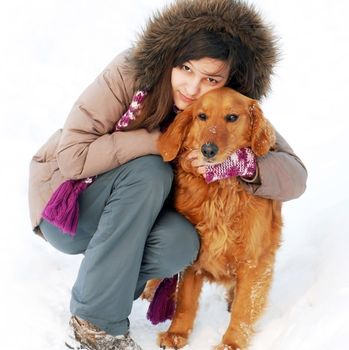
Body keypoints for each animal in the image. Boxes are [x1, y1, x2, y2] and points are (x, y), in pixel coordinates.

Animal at [156, 87, 282, 350]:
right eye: (202, 116)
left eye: (232, 117)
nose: (208, 150)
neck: (220, 191)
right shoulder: (195, 258)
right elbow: (184, 302)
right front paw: (176, 334)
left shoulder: (254, 262)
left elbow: (244, 309)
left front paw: (231, 343)